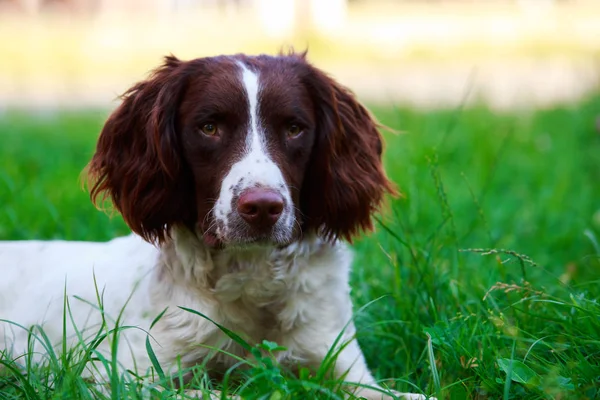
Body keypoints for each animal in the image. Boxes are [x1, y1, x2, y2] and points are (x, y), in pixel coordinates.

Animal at [0, 54, 432, 400]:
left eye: (294, 128)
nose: (262, 207)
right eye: (209, 127)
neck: (250, 277)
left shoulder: (340, 361)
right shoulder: (121, 377)